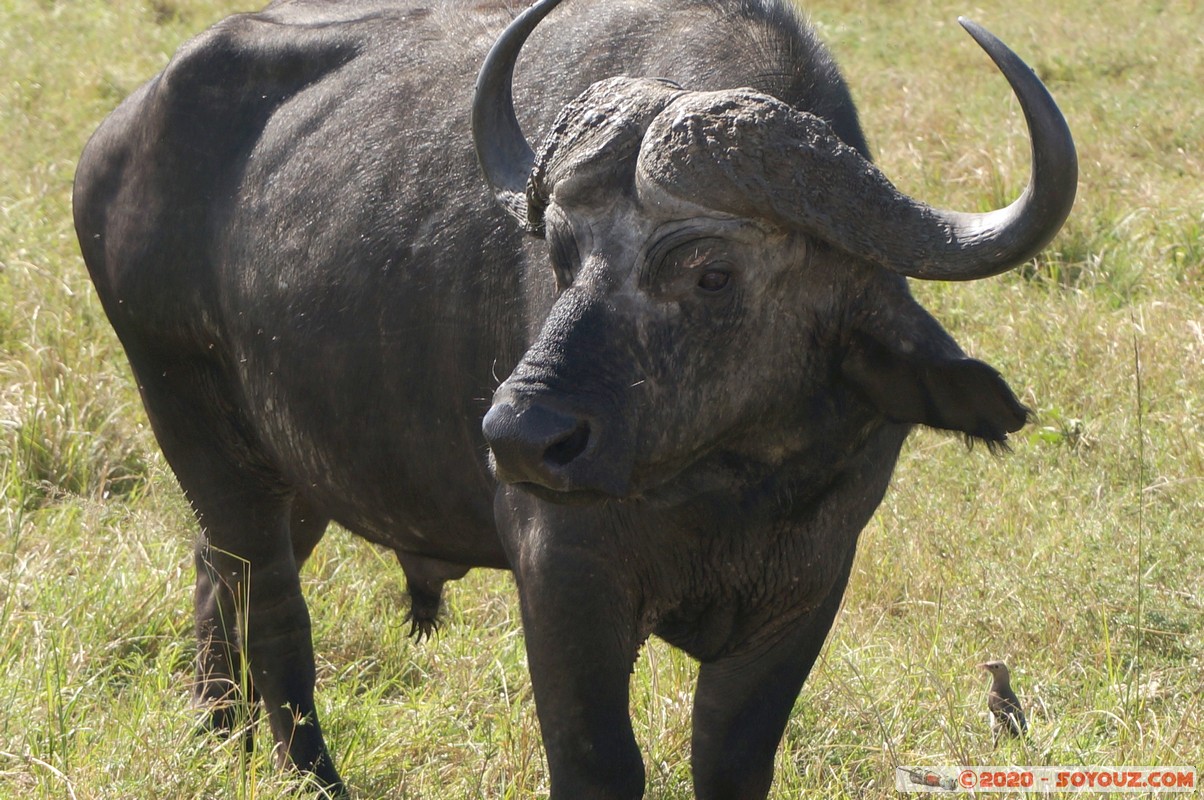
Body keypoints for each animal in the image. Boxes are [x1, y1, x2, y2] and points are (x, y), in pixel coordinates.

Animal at [70, 0, 1078, 795]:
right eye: (560, 255)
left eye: (710, 272)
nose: (519, 437)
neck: (725, 480)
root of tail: (117, 139)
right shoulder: (562, 573)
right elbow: (599, 764)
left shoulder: (809, 584)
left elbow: (731, 761)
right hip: (190, 415)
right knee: (271, 608)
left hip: (295, 470)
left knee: (216, 579)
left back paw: (218, 739)